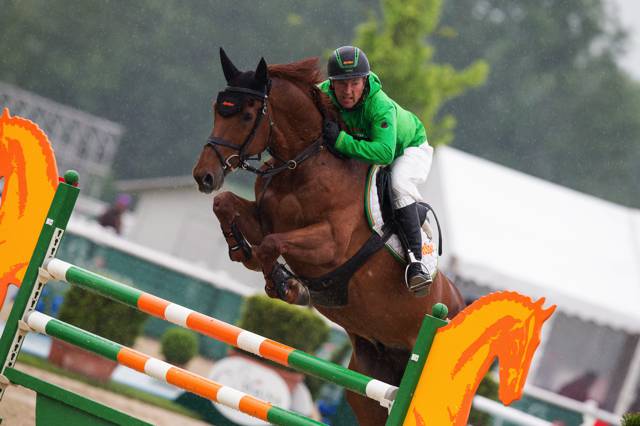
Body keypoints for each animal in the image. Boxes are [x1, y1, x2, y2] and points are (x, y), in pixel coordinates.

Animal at [191, 48, 464, 424]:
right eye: (218, 109)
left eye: (247, 114)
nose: (204, 176)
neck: (303, 162)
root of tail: (455, 307)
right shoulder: (266, 219)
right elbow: (226, 204)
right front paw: (240, 250)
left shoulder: (330, 245)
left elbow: (272, 246)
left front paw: (288, 286)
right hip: (368, 381)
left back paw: (418, 274)